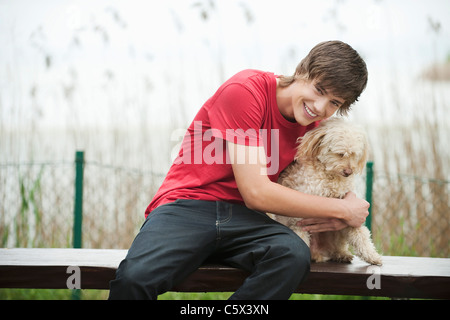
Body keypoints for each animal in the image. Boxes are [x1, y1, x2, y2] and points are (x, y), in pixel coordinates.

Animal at [272, 117, 382, 264]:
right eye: (340, 154)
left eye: (354, 154)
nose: (348, 172)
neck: (330, 178)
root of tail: (317, 253)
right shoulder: (299, 220)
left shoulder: (350, 210)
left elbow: (361, 235)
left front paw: (372, 256)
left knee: (337, 247)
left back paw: (342, 254)